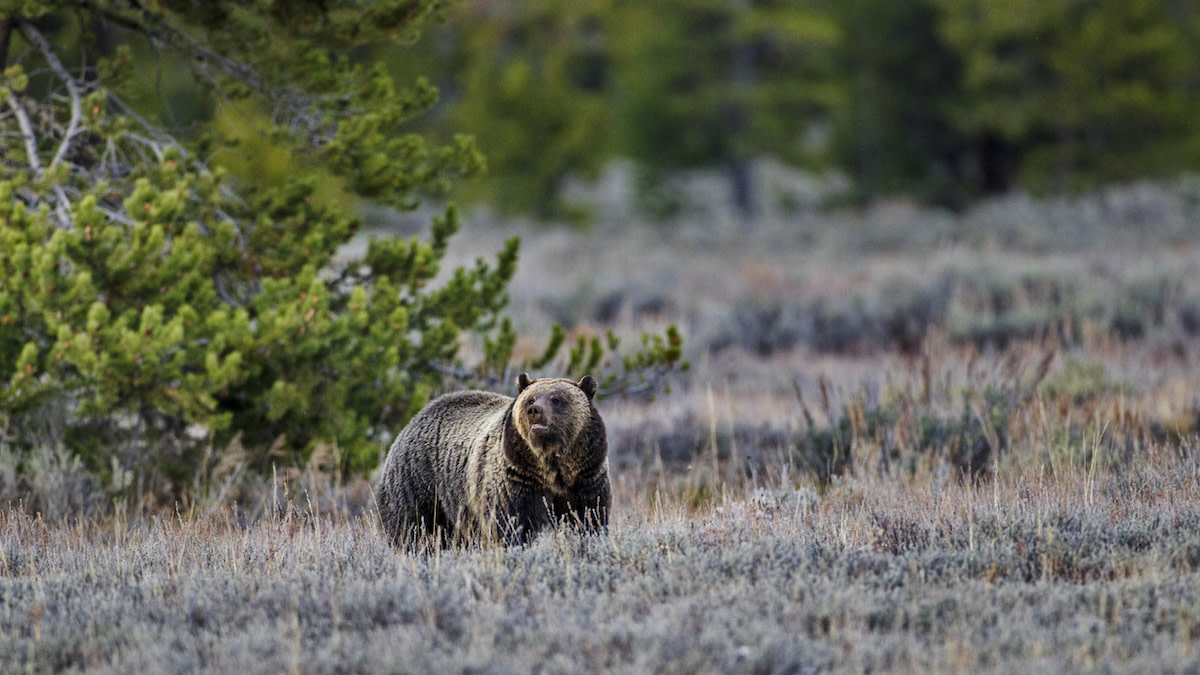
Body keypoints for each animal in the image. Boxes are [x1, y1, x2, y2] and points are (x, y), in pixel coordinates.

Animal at [376, 373, 610, 550]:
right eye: (531, 398)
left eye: (556, 399)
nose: (534, 411)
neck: (549, 466)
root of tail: (413, 420)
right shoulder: (516, 480)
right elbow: (509, 525)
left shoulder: (585, 478)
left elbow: (590, 518)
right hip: (419, 482)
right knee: (412, 526)